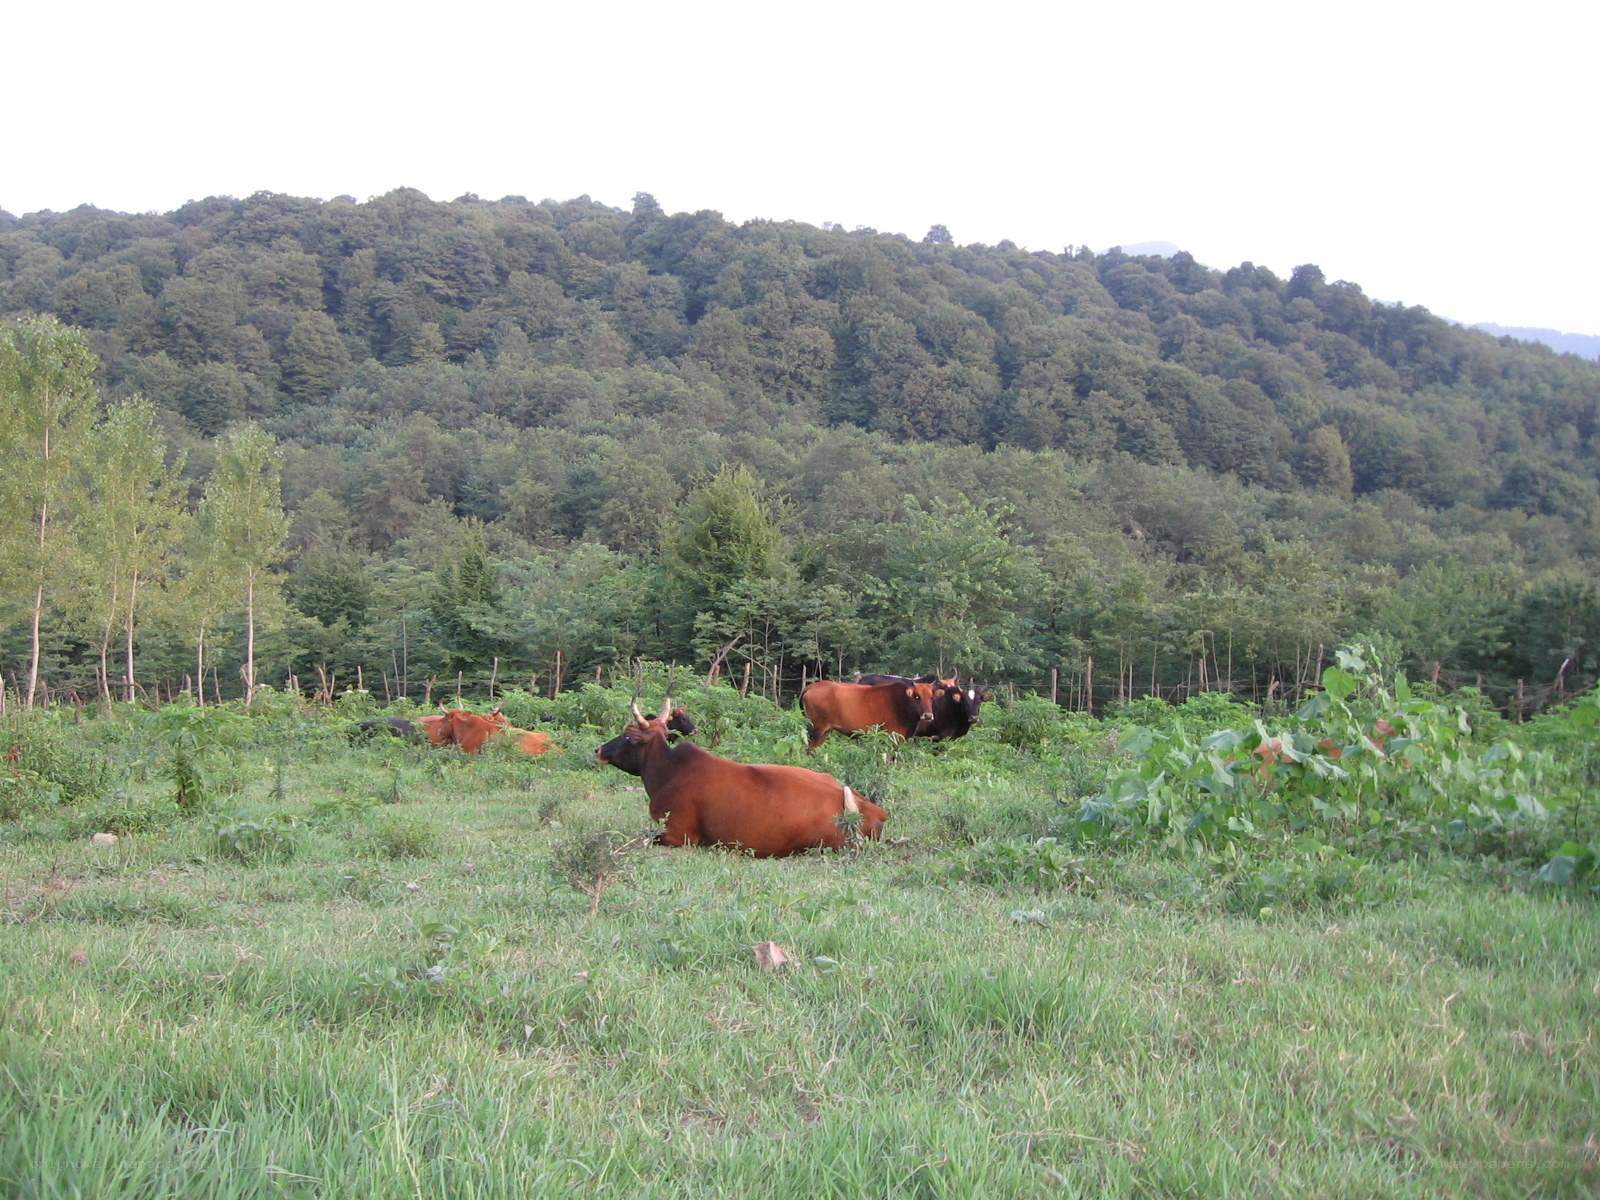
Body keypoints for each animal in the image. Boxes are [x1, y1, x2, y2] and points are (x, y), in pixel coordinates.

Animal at [799, 678, 937, 753]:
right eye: (917, 696)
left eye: (931, 697)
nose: (928, 716)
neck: (902, 703)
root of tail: (810, 687)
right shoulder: (891, 737)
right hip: (817, 729)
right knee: (810, 750)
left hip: (825, 731)